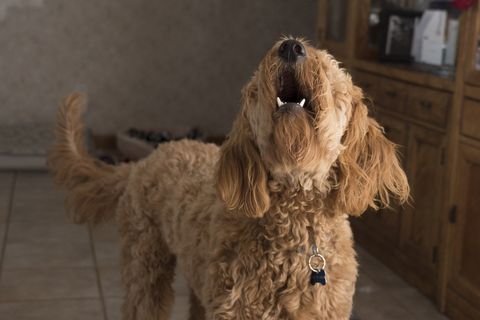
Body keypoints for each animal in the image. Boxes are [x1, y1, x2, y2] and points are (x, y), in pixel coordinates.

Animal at [47, 38, 408, 320]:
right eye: (256, 88)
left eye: (330, 70)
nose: (291, 46)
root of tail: (145, 161)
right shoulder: (234, 309)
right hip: (145, 263)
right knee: (142, 304)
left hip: (199, 280)